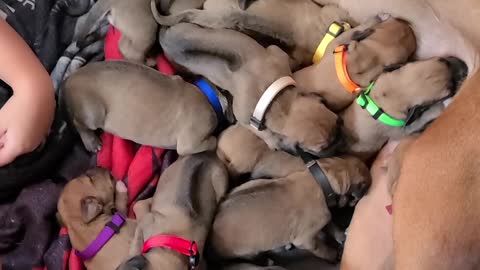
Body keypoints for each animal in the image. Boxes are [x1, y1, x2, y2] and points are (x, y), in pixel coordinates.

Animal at [60, 60, 229, 155]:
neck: (208, 96)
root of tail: (69, 78)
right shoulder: (190, 143)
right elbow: (212, 141)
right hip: (93, 113)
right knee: (78, 123)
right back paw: (91, 142)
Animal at [159, 23, 340, 158]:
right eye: (322, 148)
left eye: (338, 121)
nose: (341, 141)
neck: (278, 100)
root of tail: (165, 36)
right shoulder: (244, 117)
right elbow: (261, 132)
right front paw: (272, 141)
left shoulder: (276, 53)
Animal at [210, 156, 372, 264]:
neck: (320, 181)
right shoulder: (305, 239)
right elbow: (320, 248)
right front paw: (332, 255)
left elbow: (331, 225)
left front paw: (341, 235)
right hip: (246, 250)